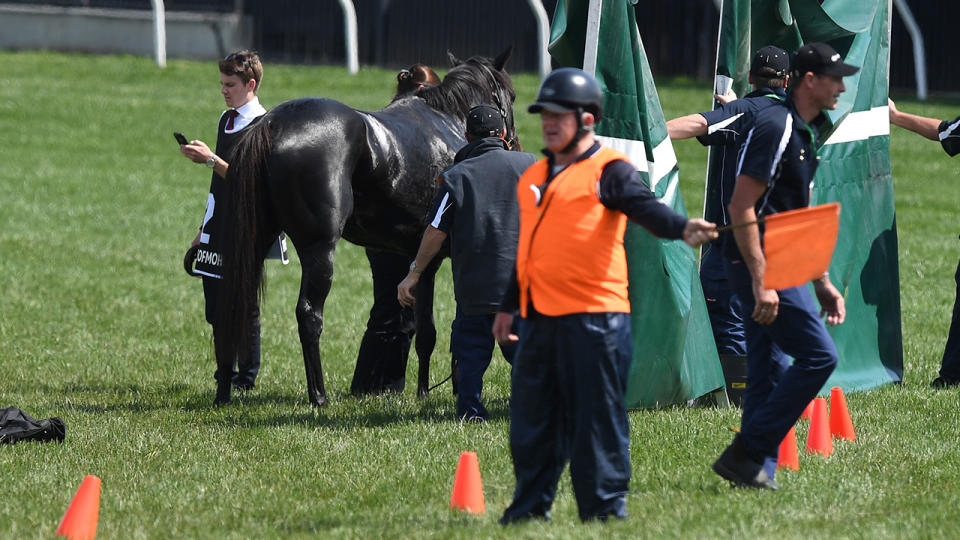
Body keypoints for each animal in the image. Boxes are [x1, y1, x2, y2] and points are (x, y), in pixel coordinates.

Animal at [215, 49, 520, 404]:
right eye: (511, 95)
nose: (514, 143)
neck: (447, 120)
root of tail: (271, 124)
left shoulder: (418, 258)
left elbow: (424, 332)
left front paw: (424, 392)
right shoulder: (441, 257)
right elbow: (441, 329)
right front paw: (440, 391)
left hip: (254, 242)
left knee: (233, 303)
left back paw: (223, 392)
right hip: (319, 249)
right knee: (309, 314)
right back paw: (318, 396)